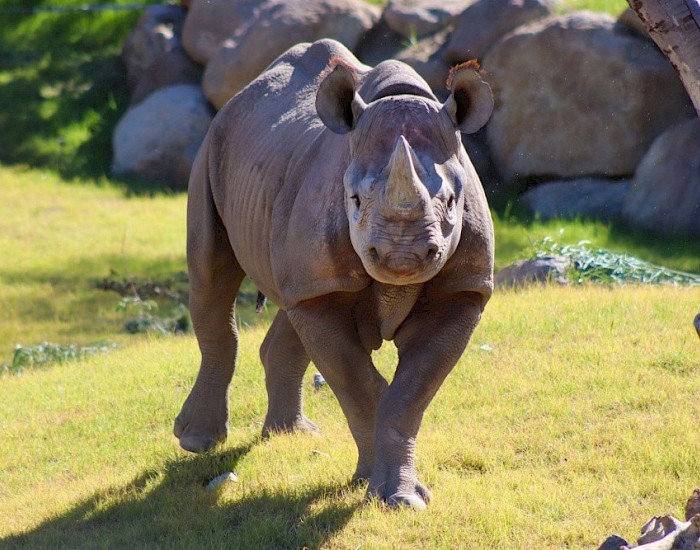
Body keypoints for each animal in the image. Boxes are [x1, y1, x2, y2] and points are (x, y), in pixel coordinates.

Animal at [174, 40, 492, 512]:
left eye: (453, 201)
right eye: (354, 200)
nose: (402, 256)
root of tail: (238, 98)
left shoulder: (464, 290)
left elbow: (408, 395)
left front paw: (401, 498)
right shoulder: (323, 288)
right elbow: (360, 386)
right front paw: (372, 484)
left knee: (289, 302)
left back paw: (290, 434)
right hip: (213, 148)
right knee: (212, 279)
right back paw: (197, 442)